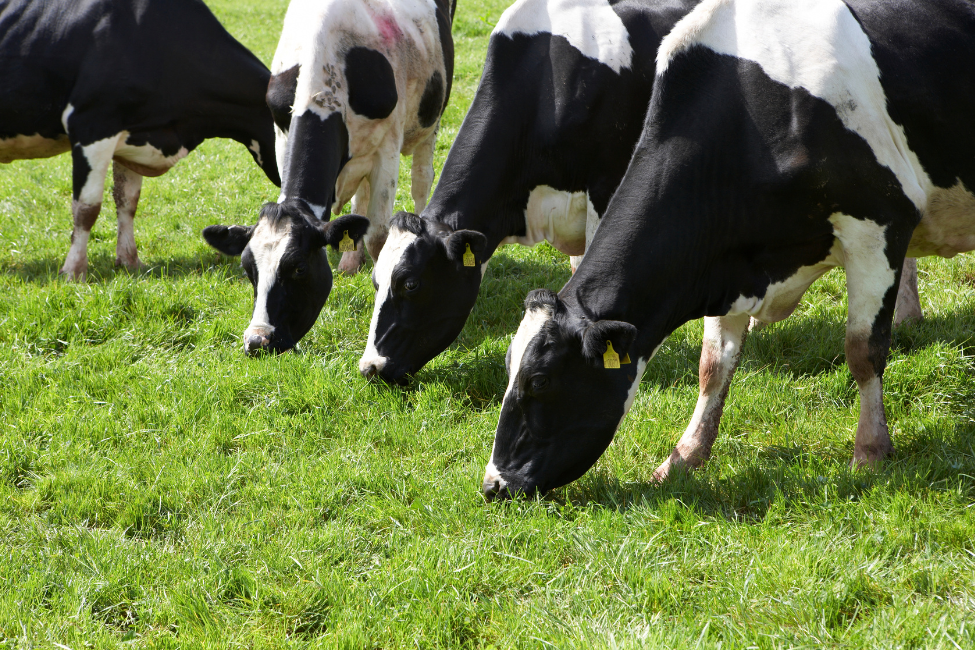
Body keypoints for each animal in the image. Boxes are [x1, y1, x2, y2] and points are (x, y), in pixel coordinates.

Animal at [0, 0, 282, 278]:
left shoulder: (132, 136)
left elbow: (127, 202)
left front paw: (130, 261)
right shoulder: (91, 124)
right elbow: (87, 208)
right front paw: (74, 271)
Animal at [204, 0, 456, 354]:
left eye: (299, 268)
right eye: (248, 268)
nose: (258, 340)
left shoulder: (387, 146)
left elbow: (379, 236)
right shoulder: (281, 135)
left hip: (429, 115)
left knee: (421, 179)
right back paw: (350, 260)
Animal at [484, 0, 975, 498]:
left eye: (540, 379)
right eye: (508, 368)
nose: (493, 485)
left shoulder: (879, 227)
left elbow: (863, 352)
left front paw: (871, 452)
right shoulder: (723, 260)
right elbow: (713, 366)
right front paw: (683, 458)